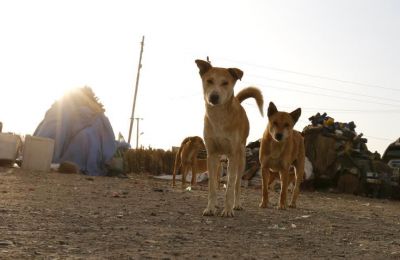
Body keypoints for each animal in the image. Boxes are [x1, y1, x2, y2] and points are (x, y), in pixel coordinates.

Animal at [195, 59, 264, 217]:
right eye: (209, 80)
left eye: (225, 83)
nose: (214, 97)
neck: (219, 117)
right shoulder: (211, 154)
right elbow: (212, 187)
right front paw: (210, 208)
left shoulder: (233, 155)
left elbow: (230, 187)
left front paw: (228, 210)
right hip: (220, 161)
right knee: (218, 180)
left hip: (241, 159)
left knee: (237, 184)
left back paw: (236, 204)